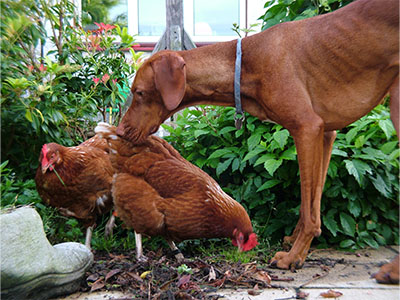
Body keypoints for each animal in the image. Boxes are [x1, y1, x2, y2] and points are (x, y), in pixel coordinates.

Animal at [117, 0, 398, 282]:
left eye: (139, 93)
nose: (119, 131)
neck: (243, 64)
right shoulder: (326, 134)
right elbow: (313, 201)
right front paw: (297, 241)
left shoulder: (307, 128)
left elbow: (308, 209)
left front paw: (294, 257)